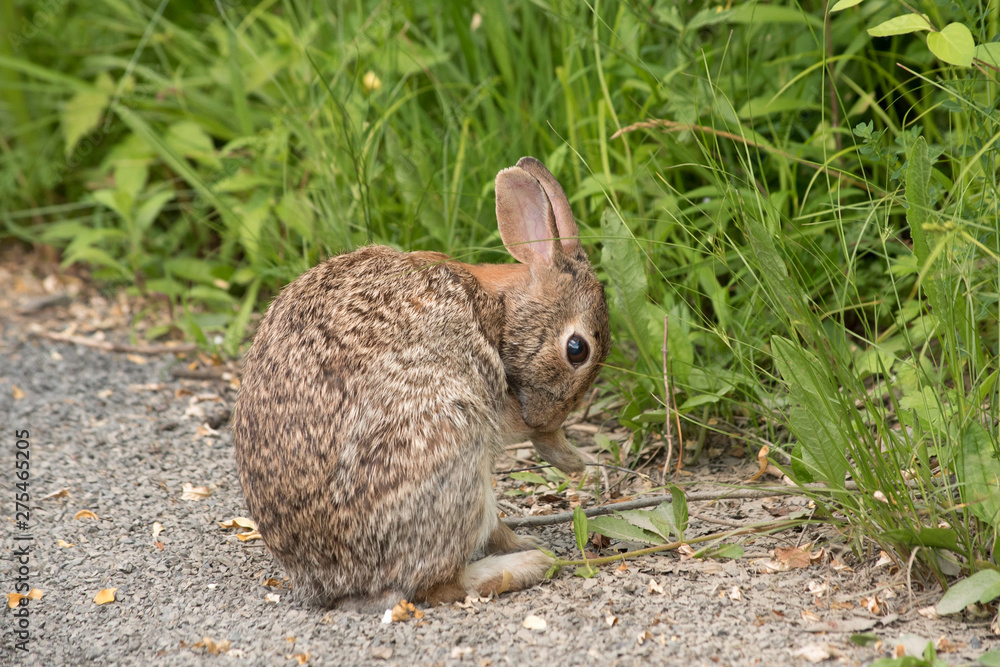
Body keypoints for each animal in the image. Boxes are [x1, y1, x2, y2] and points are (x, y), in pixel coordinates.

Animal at [231, 156, 610, 611]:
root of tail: (327, 579)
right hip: (452, 447)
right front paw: (571, 459)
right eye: (577, 349)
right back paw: (530, 561)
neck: (502, 306)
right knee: (441, 580)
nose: (549, 419)